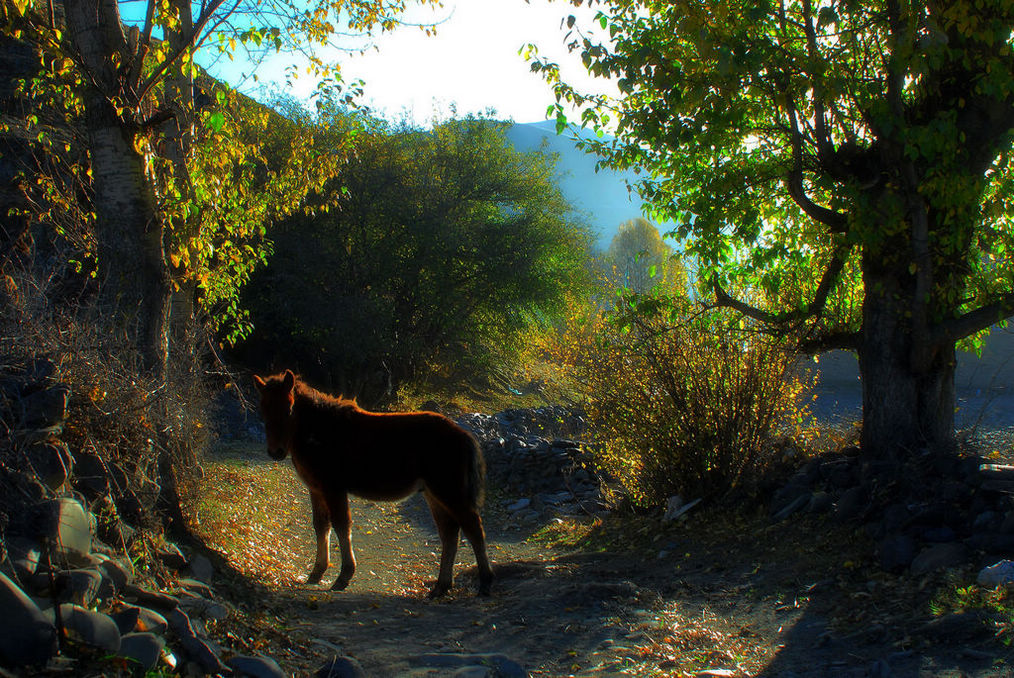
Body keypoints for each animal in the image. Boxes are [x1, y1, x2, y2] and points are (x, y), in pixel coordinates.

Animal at [251, 370, 492, 595]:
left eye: (289, 409)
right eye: (263, 410)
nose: (276, 452)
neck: (320, 430)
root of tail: (463, 435)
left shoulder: (333, 488)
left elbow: (341, 525)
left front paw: (344, 575)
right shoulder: (316, 489)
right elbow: (321, 525)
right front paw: (317, 571)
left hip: (450, 492)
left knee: (473, 529)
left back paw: (485, 584)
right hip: (434, 494)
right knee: (449, 534)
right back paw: (441, 587)